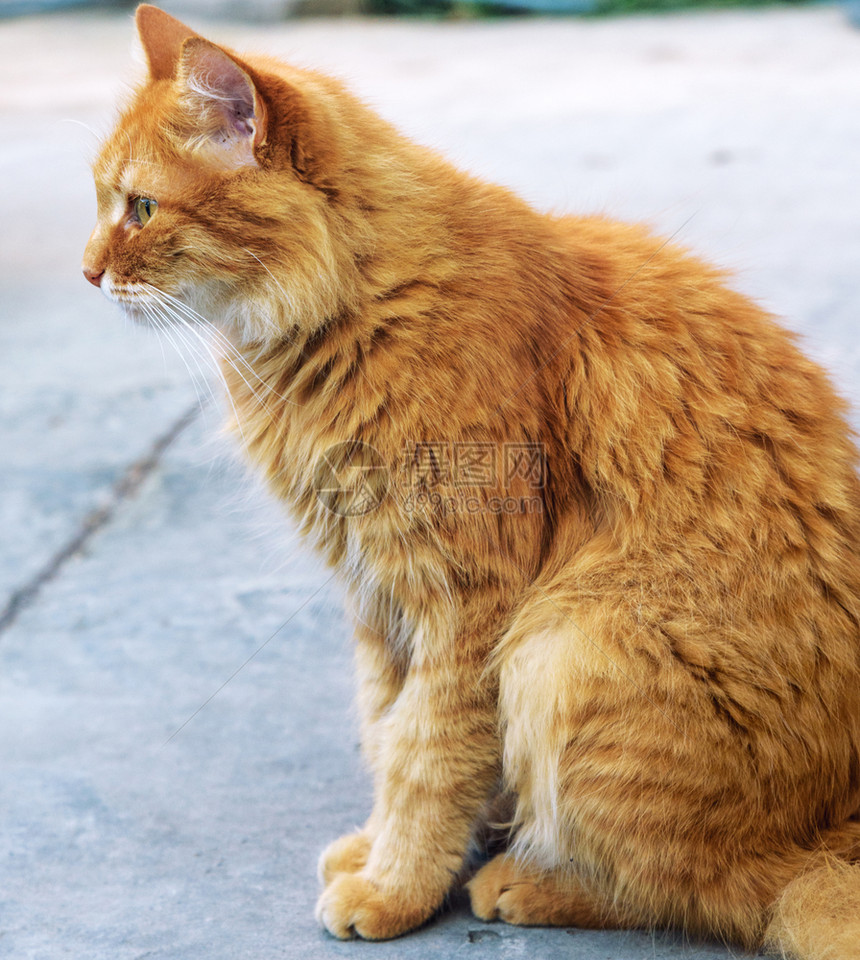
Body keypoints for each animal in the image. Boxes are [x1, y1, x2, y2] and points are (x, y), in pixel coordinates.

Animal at [84, 5, 860, 952]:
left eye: (141, 208)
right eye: (103, 202)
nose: (87, 271)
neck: (359, 306)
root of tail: (830, 831)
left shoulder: (466, 599)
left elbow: (426, 756)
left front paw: (395, 887)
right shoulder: (379, 598)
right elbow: (388, 731)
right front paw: (379, 850)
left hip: (567, 646)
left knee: (732, 895)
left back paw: (530, 881)